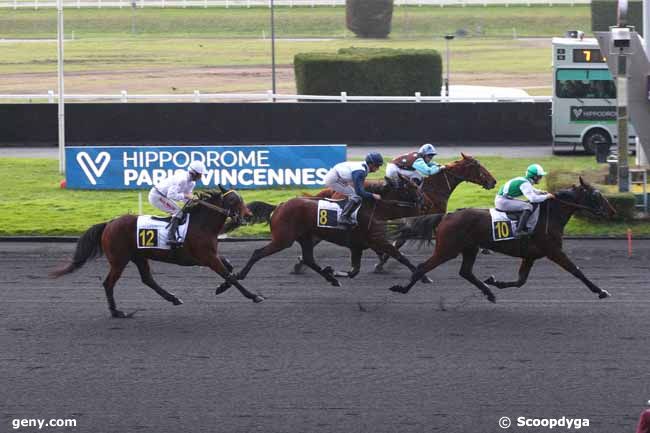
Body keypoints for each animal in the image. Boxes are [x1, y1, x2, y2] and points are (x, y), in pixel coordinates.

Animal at [50, 186, 264, 318]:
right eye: (233, 200)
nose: (248, 215)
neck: (201, 224)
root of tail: (109, 223)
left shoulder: (211, 255)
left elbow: (229, 268)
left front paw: (221, 288)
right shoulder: (207, 257)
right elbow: (229, 274)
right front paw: (253, 295)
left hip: (139, 257)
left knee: (148, 279)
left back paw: (173, 298)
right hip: (119, 260)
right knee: (109, 283)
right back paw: (116, 312)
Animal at [218, 177, 420, 292]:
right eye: (409, 188)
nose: (421, 200)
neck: (374, 209)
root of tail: (279, 206)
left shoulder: (358, 246)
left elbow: (355, 270)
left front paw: (334, 271)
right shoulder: (376, 241)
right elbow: (399, 256)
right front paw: (421, 275)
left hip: (305, 237)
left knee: (308, 259)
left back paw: (331, 278)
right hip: (283, 239)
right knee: (258, 253)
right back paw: (239, 275)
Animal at [388, 177, 616, 302]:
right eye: (596, 195)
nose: (612, 212)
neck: (549, 216)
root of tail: (448, 215)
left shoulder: (531, 255)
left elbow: (520, 281)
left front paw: (495, 281)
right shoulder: (553, 251)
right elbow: (576, 271)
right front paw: (601, 291)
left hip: (470, 248)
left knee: (465, 272)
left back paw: (489, 292)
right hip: (447, 249)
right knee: (422, 267)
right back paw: (402, 288)